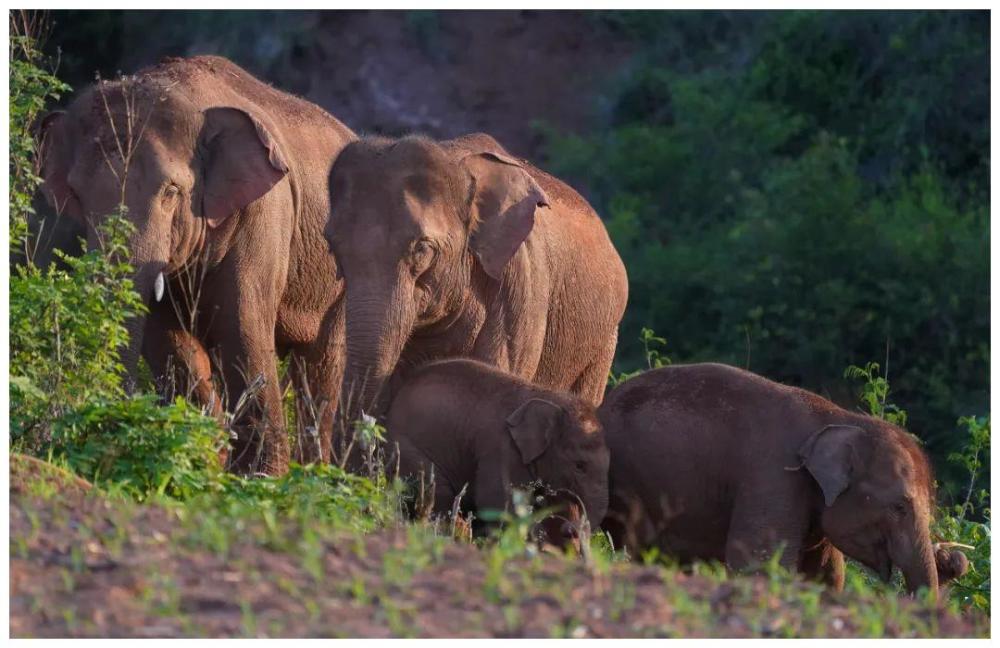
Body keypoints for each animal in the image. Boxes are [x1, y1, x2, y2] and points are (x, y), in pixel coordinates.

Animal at [40, 55, 360, 476]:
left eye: (171, 192)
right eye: (77, 194)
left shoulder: (263, 216)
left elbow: (243, 330)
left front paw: (261, 477)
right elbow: (168, 341)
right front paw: (205, 458)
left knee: (322, 364)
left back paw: (315, 474)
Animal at [382, 356, 608, 548]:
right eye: (579, 466)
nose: (571, 530)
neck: (547, 396)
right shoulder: (501, 449)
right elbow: (498, 503)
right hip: (409, 450)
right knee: (438, 494)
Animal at [600, 362, 968, 600]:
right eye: (898, 507)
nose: (952, 560)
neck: (840, 418)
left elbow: (825, 576)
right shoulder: (773, 477)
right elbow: (756, 566)